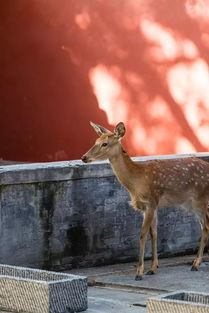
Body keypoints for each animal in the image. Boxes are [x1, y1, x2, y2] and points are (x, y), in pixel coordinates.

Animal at [81, 120, 209, 280]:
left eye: (105, 143)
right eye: (95, 141)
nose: (84, 157)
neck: (138, 180)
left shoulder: (151, 202)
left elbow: (142, 235)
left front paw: (139, 272)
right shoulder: (150, 207)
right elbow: (154, 234)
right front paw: (153, 267)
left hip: (201, 200)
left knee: (205, 227)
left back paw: (196, 264)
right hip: (191, 204)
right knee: (204, 226)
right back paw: (196, 262)